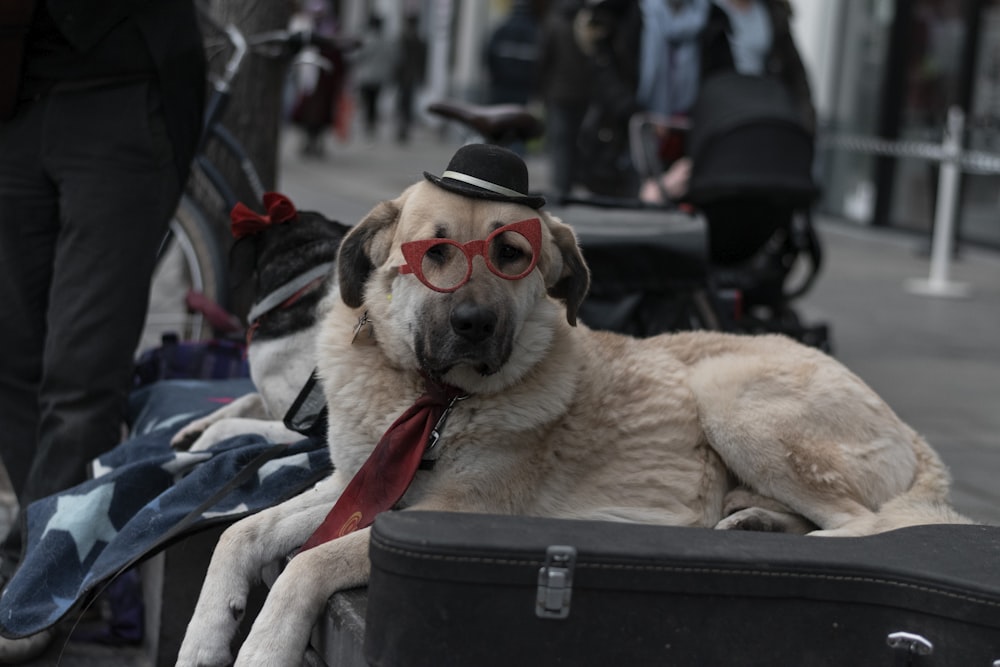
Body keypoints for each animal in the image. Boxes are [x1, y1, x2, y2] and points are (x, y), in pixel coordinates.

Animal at [178, 149, 968, 664]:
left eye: (511, 255)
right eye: (435, 250)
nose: (474, 324)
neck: (430, 401)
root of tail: (914, 435)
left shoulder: (448, 511)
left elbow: (309, 564)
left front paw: (263, 644)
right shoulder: (354, 484)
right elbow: (240, 533)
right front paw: (207, 632)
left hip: (732, 395)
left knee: (862, 526)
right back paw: (752, 519)